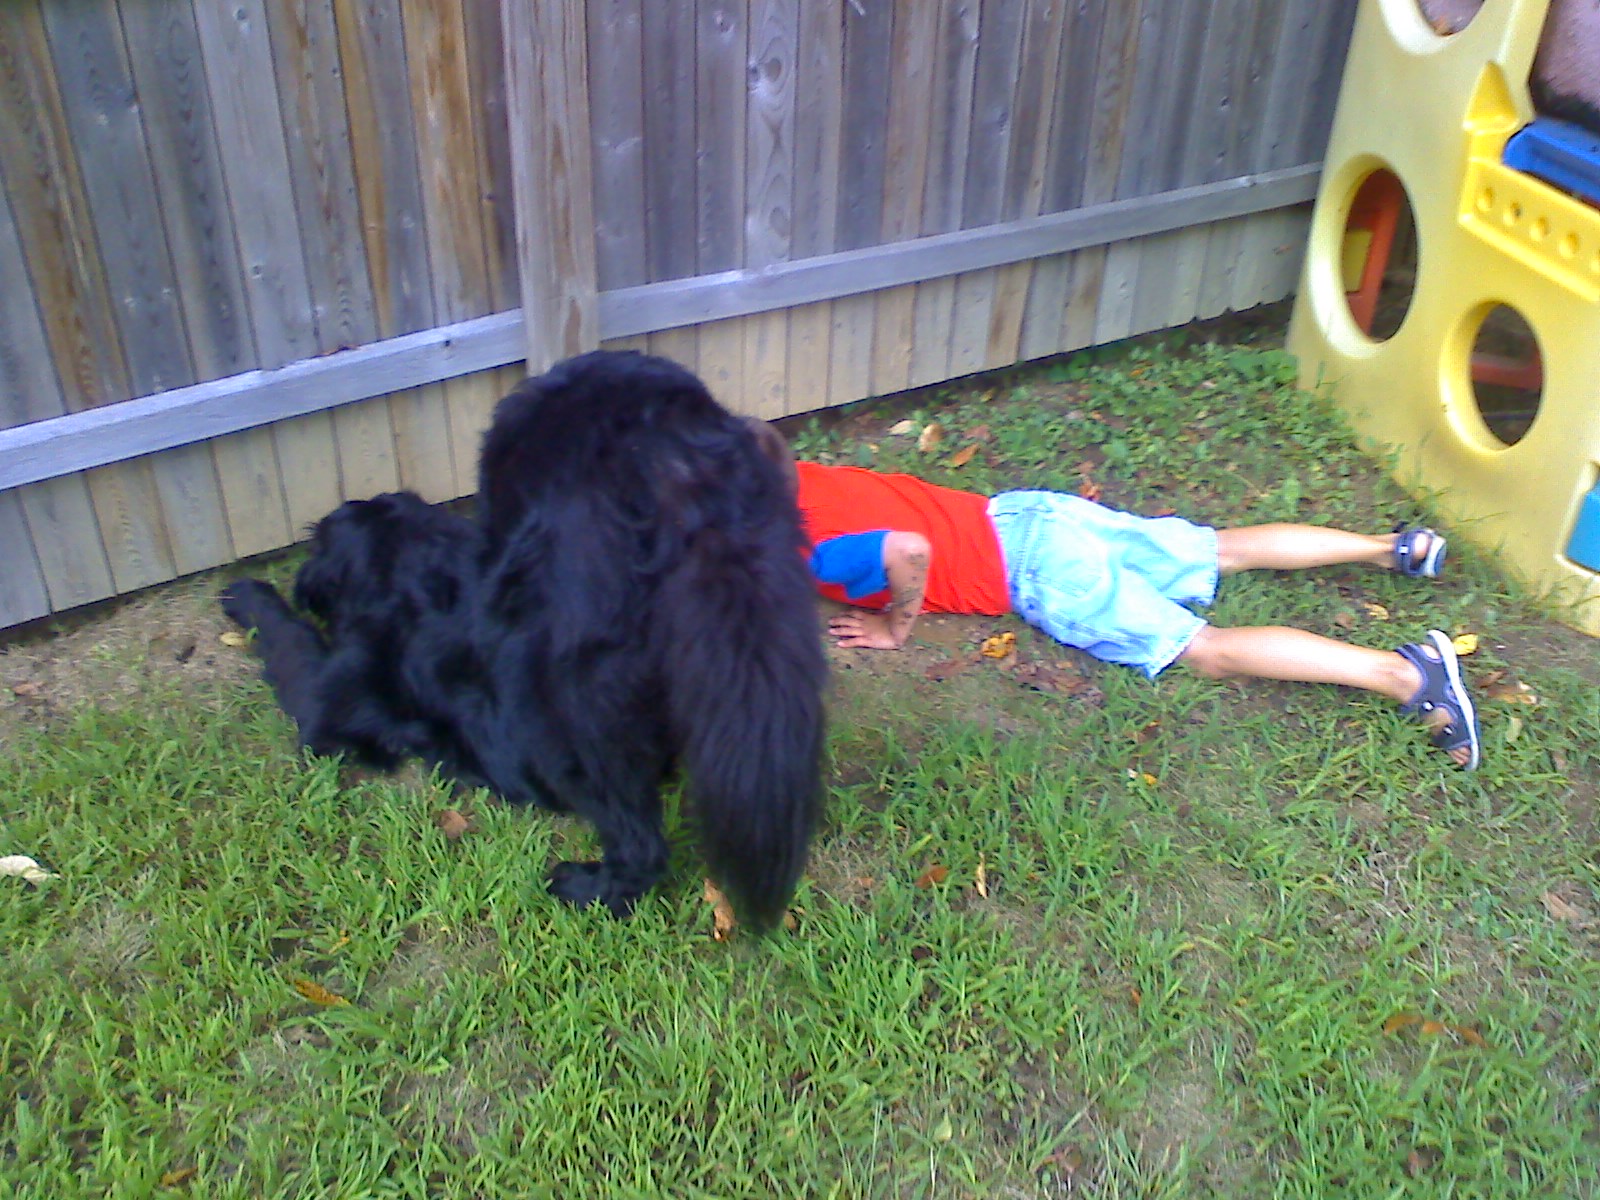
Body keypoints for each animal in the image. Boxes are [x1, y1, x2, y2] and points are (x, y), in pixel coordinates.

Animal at [221, 350, 827, 928]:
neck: (403, 564)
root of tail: (670, 441)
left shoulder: (327, 703)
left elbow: (289, 639)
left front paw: (245, 594)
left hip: (575, 701)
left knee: (640, 842)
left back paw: (590, 886)